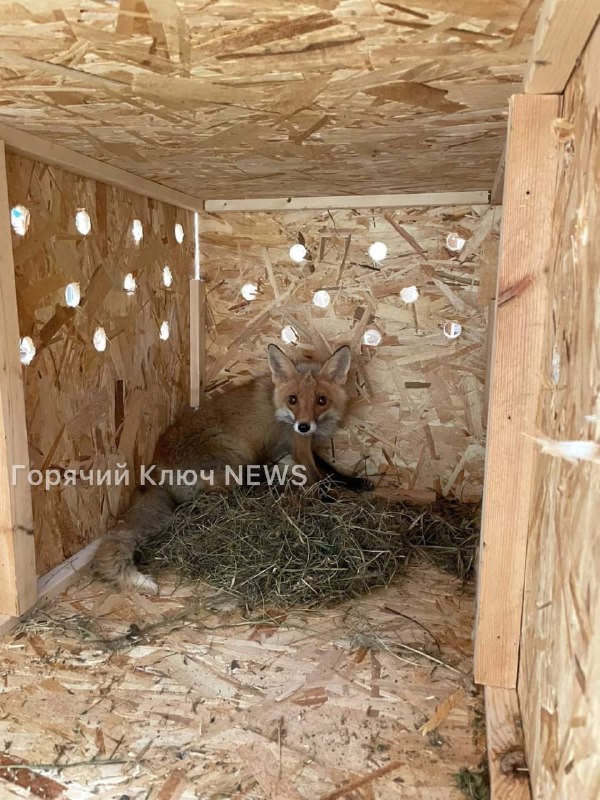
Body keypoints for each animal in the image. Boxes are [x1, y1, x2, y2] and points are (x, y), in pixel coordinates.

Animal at [92, 344, 370, 592]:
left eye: (321, 400)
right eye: (293, 400)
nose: (304, 425)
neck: (278, 405)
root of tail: (155, 473)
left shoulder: (300, 445)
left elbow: (330, 471)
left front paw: (355, 482)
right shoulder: (295, 444)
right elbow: (318, 479)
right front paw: (332, 500)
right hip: (234, 460)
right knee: (219, 494)